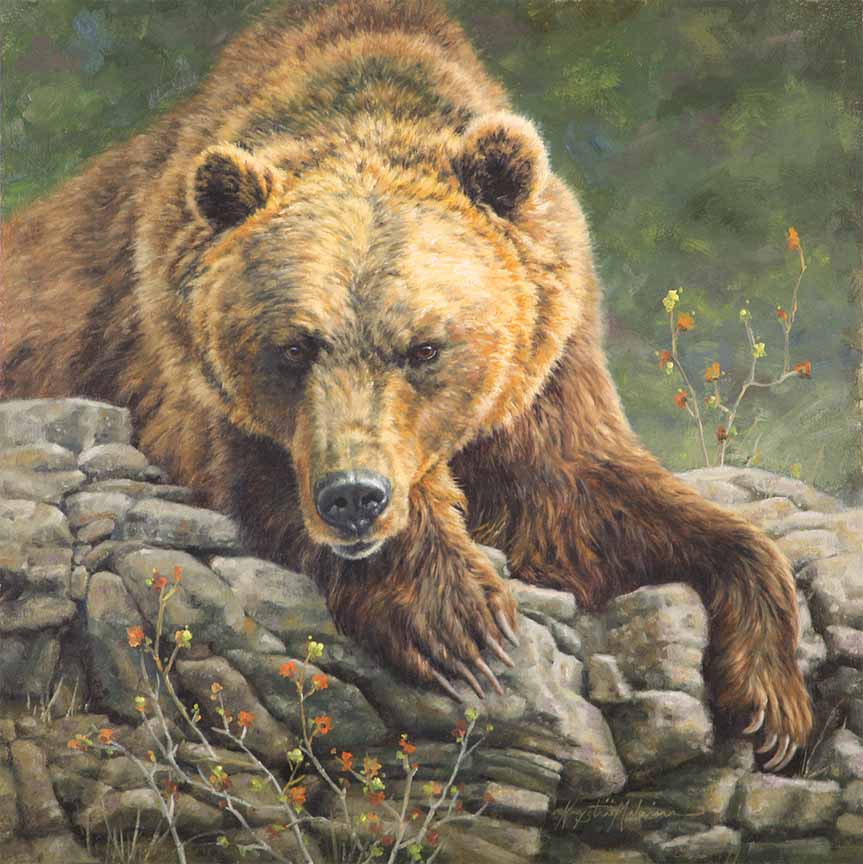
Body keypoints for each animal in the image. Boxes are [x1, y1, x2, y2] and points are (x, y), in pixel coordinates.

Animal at [1, 0, 811, 770]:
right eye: (293, 347)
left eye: (424, 348)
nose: (354, 498)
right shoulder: (177, 349)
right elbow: (255, 459)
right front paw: (456, 616)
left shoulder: (544, 369)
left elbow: (588, 499)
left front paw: (773, 700)